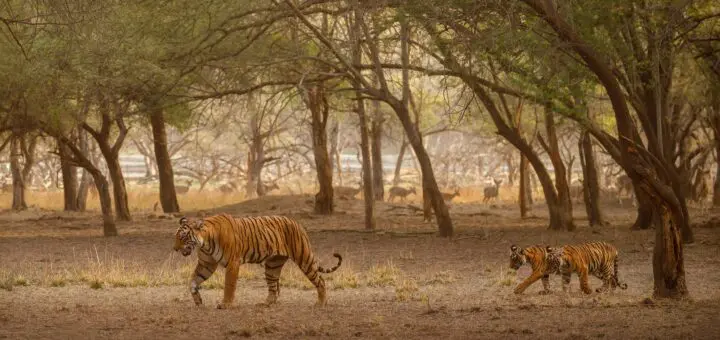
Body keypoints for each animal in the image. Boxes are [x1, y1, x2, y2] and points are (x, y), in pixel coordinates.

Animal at [174, 214, 344, 310]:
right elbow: (192, 281)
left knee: (320, 281)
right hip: (272, 265)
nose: (175, 249)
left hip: (304, 258)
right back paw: (265, 304)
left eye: (183, 237)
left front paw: (226, 304)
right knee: (274, 288)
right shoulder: (206, 265)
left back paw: (321, 303)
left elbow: (229, 285)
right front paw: (198, 301)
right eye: (176, 237)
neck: (205, 243)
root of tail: (296, 223)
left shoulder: (232, 263)